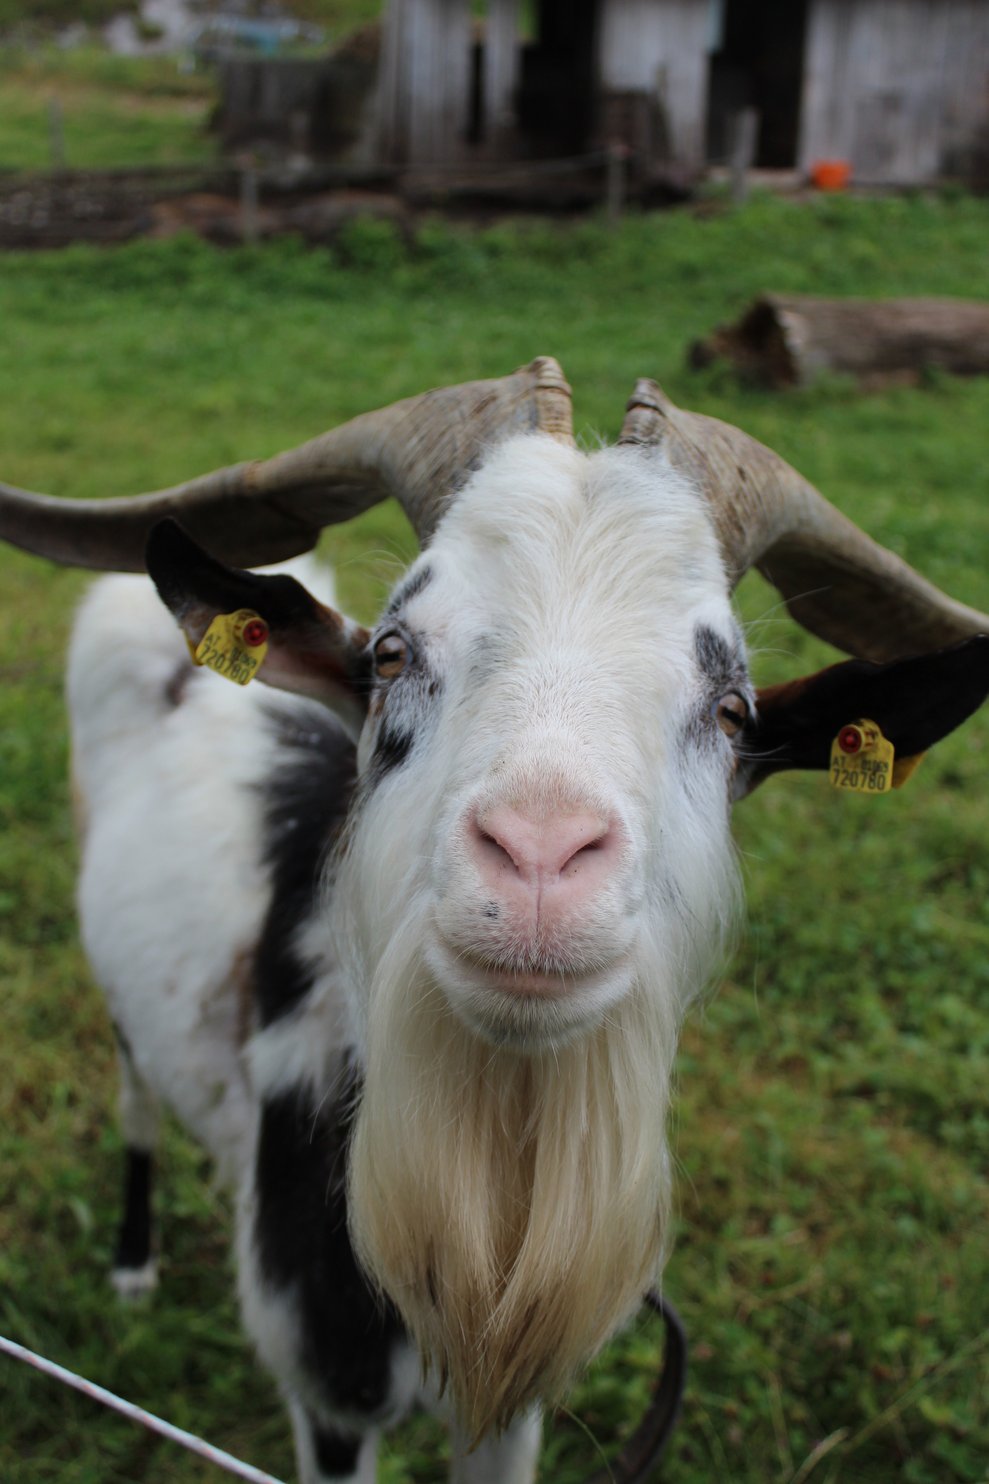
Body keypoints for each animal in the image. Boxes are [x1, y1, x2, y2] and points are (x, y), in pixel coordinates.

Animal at [2, 359, 987, 1484]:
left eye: (731, 708)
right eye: (392, 653)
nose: (537, 862)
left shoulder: (512, 1411)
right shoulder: (327, 1379)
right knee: (132, 1089)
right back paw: (132, 1264)